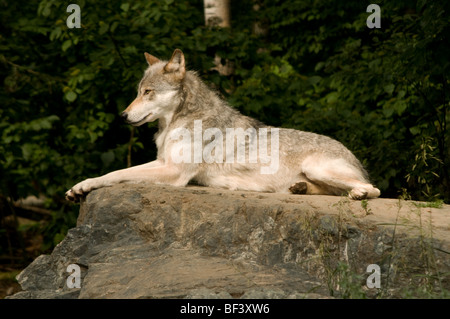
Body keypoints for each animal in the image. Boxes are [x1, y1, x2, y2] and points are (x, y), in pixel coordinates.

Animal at [65, 48, 382, 201]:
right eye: (137, 91)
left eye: (147, 92)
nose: (122, 115)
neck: (177, 123)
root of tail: (354, 155)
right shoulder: (164, 163)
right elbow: (117, 172)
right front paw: (79, 187)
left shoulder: (174, 172)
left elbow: (117, 173)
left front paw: (84, 186)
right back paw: (300, 189)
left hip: (320, 168)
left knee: (373, 189)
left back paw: (358, 193)